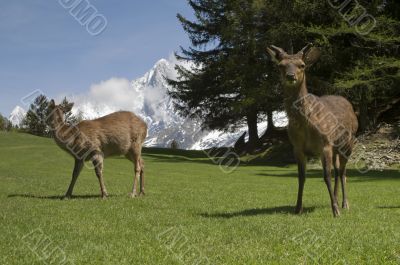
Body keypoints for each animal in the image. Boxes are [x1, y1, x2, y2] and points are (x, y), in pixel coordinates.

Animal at [268, 43, 358, 217]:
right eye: (280, 66)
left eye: (302, 65)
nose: (290, 76)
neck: (305, 124)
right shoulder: (297, 148)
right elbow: (301, 177)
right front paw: (298, 208)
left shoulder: (325, 145)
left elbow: (326, 176)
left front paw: (335, 211)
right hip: (336, 149)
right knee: (337, 170)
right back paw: (336, 199)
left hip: (347, 145)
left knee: (342, 172)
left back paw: (344, 204)